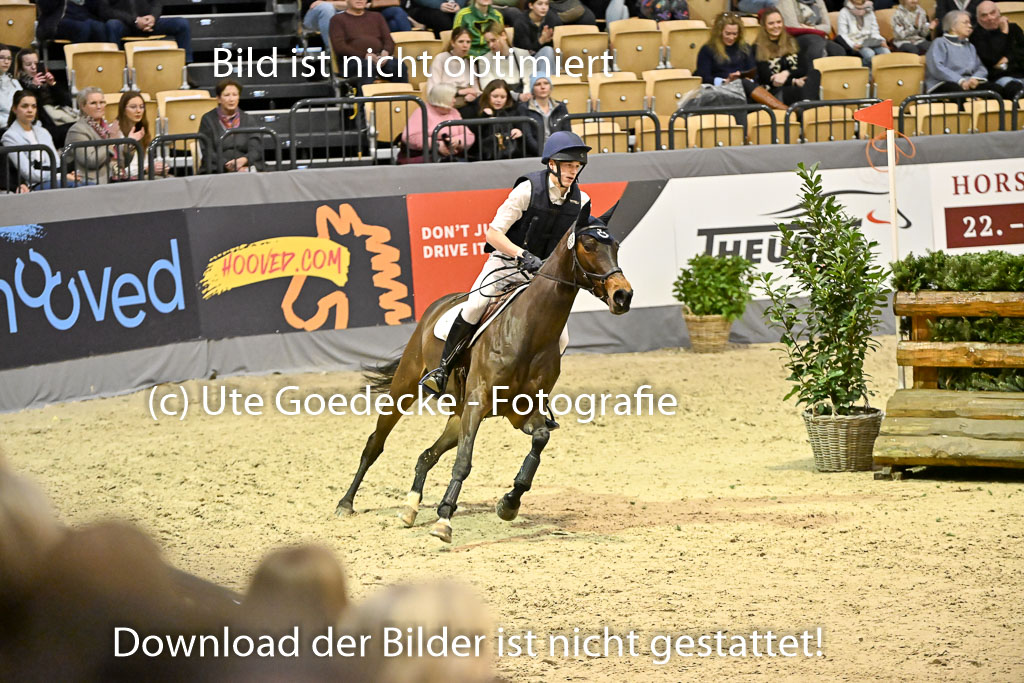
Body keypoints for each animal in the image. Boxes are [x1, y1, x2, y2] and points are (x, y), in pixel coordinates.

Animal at [334, 218, 633, 543]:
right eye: (588, 246)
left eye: (616, 246)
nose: (623, 295)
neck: (529, 330)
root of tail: (438, 305)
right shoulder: (478, 405)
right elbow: (463, 462)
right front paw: (444, 520)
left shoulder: (521, 413)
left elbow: (539, 442)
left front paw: (509, 504)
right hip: (406, 386)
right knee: (375, 444)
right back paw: (345, 503)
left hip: (458, 415)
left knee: (427, 456)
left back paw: (410, 508)